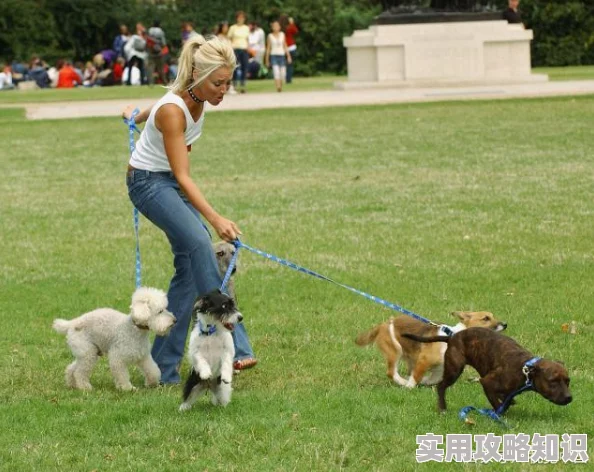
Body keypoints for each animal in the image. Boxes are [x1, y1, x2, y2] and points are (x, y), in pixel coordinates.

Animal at [400, 328, 572, 412]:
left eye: (568, 381)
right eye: (553, 381)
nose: (569, 398)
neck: (526, 369)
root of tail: (452, 337)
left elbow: (505, 398)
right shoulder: (487, 382)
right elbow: (499, 405)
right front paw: (499, 413)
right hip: (455, 369)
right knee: (441, 386)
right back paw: (442, 408)